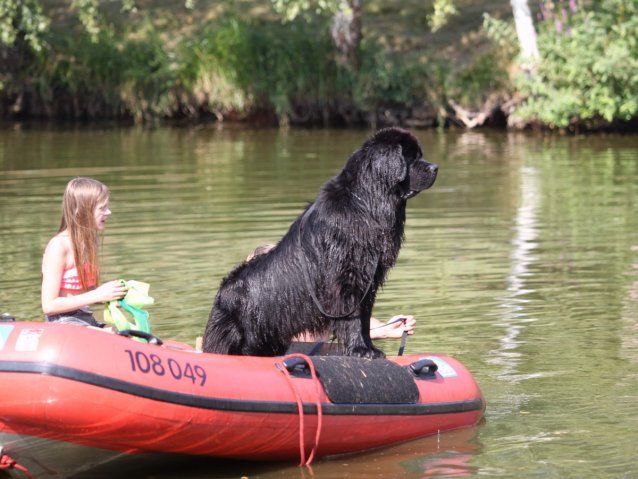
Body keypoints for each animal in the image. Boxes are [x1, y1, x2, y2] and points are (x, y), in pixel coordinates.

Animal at [205, 125, 440, 358]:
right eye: (411, 158)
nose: (435, 167)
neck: (364, 203)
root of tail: (221, 293)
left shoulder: (369, 281)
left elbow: (364, 319)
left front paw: (371, 349)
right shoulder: (346, 278)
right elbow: (353, 318)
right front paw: (360, 350)